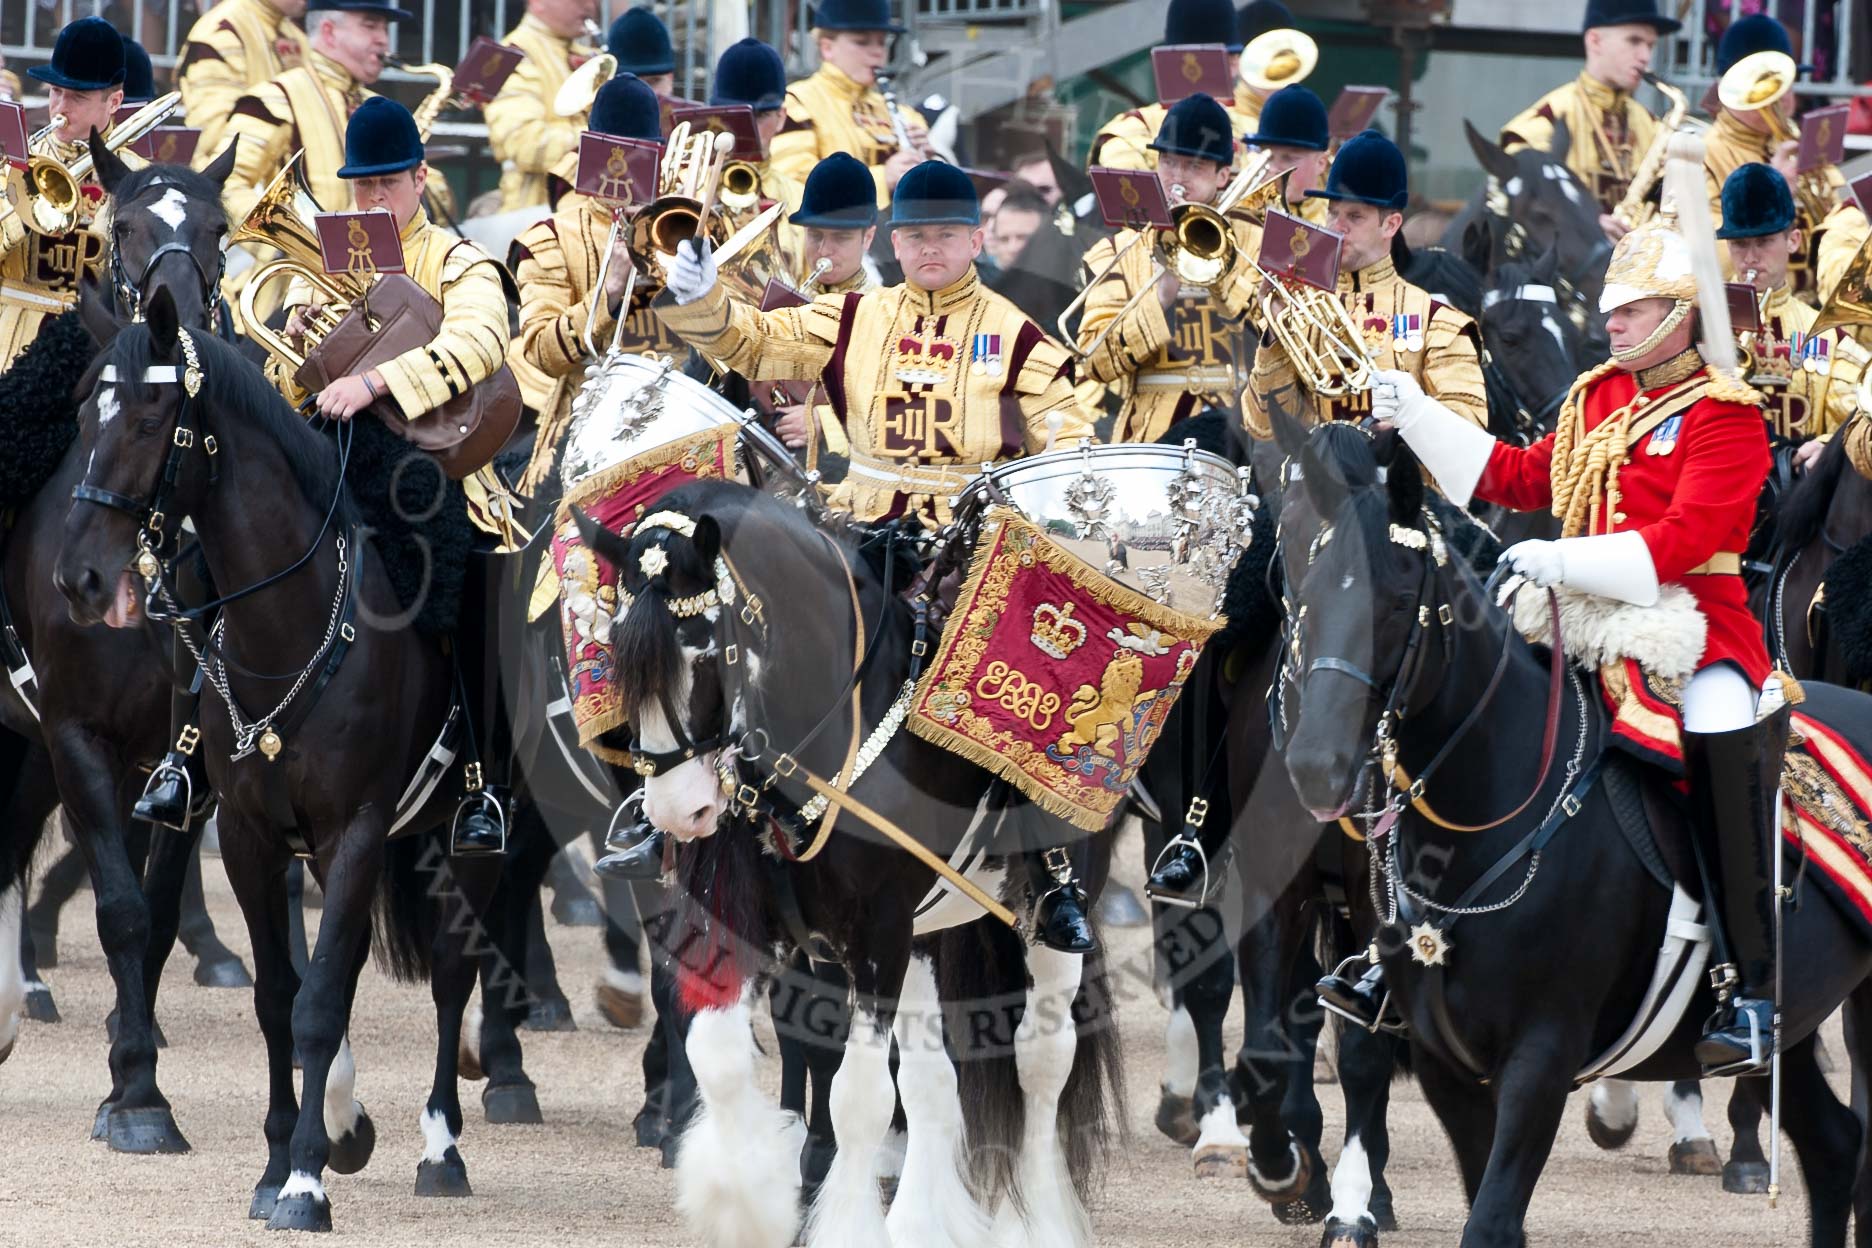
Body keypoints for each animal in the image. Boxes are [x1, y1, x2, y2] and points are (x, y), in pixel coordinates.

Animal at [49, 293, 527, 1242]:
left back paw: (440, 1150)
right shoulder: (249, 836)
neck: (289, 625)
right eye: (84, 415)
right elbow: (280, 997)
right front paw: (278, 1164)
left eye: (152, 418)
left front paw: (307, 1181)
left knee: (453, 977)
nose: (79, 577)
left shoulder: (355, 833)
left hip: (470, 839)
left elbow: (319, 1002)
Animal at [1280, 419, 1872, 1248]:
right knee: (1835, 1149)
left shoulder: (1542, 1057)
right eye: (1302, 588)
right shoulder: (1447, 1067)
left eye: (1398, 599)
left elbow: (1491, 1221)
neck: (1490, 817)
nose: (1313, 765)